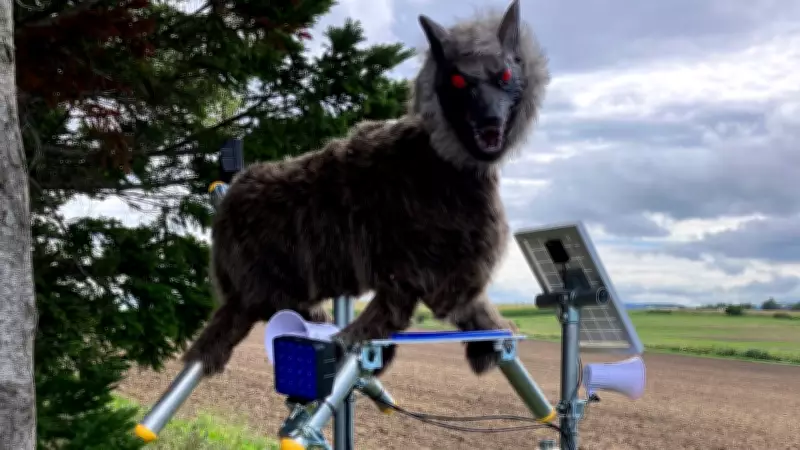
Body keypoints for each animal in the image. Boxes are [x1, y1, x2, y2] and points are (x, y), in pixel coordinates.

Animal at [182, 0, 550, 378]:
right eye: (459, 79)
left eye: (504, 76)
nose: (490, 120)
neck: (443, 161)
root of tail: (228, 202)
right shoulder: (418, 268)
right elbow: (399, 310)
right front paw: (360, 342)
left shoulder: (444, 271)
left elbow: (471, 309)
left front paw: (491, 340)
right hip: (257, 286)